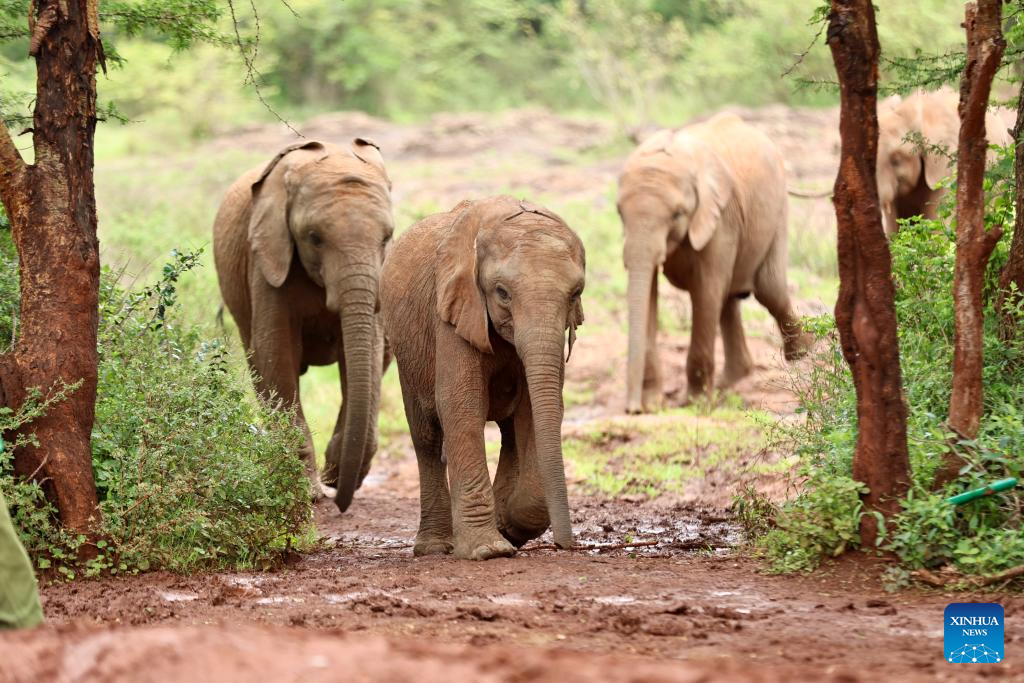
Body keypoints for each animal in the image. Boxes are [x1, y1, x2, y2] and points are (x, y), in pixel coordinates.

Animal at [213, 138, 394, 511]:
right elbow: (276, 354)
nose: (340, 501)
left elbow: (367, 357)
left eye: (387, 238)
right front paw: (309, 492)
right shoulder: (266, 257)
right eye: (314, 238)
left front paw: (336, 479)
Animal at [380, 196, 585, 560]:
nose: (567, 545)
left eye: (576, 293)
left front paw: (510, 527)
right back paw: (435, 548)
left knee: (510, 432)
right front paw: (488, 550)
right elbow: (461, 406)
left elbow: (536, 409)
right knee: (426, 438)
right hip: (408, 353)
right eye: (502, 292)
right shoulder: (453, 310)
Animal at [619, 112, 811, 414]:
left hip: (777, 208)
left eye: (677, 215)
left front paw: (695, 404)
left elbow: (705, 290)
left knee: (769, 290)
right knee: (731, 298)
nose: (632, 409)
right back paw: (728, 383)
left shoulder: (721, 218)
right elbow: (649, 291)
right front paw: (654, 405)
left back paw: (802, 355)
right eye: (619, 213)